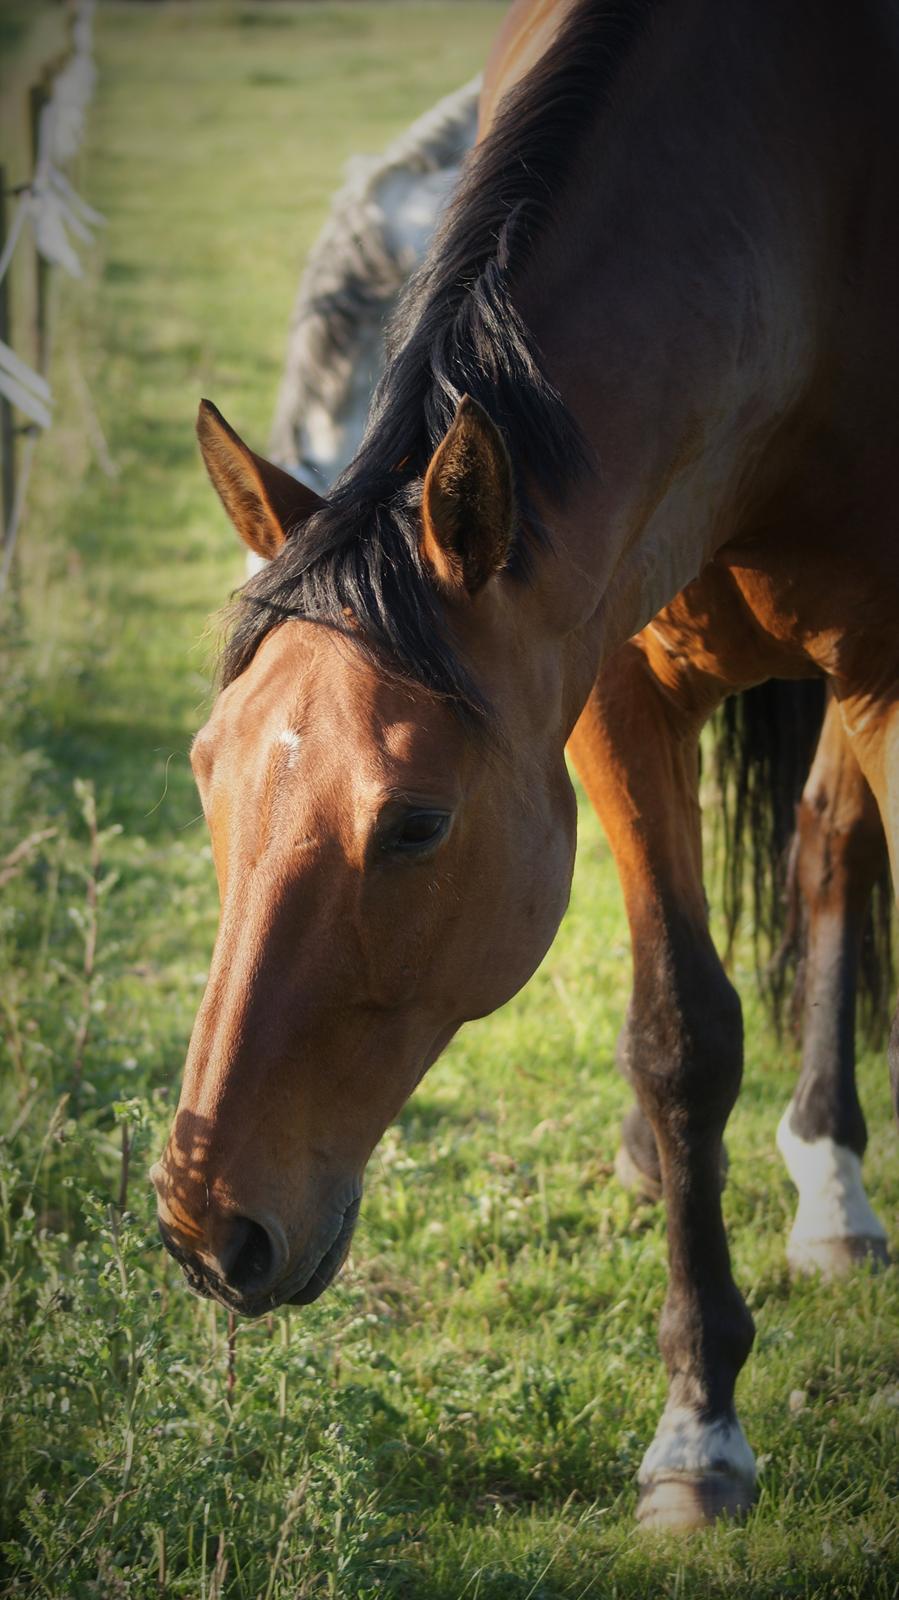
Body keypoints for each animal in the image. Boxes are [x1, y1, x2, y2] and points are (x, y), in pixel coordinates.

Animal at [153, 3, 895, 1536]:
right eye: (206, 774)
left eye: (415, 823)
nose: (204, 1226)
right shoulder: (607, 687)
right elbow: (677, 1034)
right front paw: (696, 1431)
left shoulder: (887, 661)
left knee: (826, 851)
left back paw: (831, 1181)